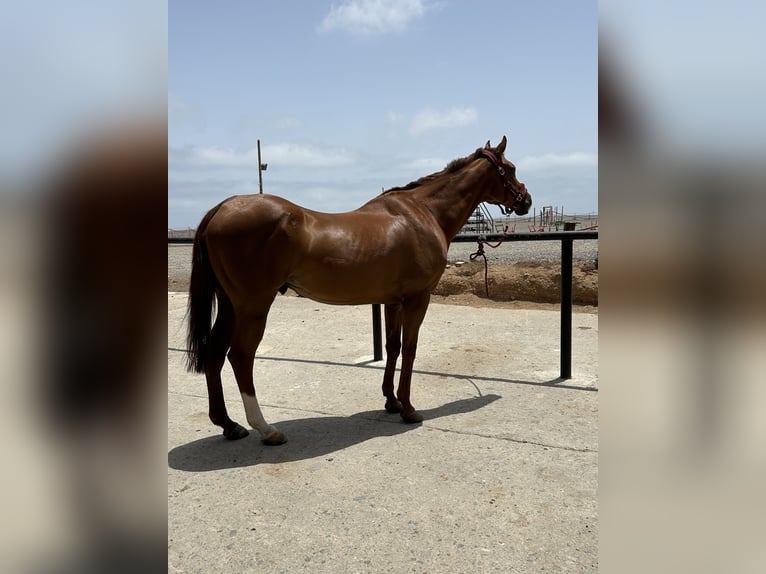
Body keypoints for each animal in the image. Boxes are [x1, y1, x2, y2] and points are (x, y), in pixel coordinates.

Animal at [189, 136, 532, 446]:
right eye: (511, 168)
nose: (526, 200)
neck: (423, 213)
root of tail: (222, 208)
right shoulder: (417, 299)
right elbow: (410, 349)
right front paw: (408, 409)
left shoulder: (393, 302)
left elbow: (393, 347)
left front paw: (391, 401)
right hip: (253, 306)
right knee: (240, 357)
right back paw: (266, 430)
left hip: (231, 305)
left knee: (214, 354)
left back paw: (229, 425)